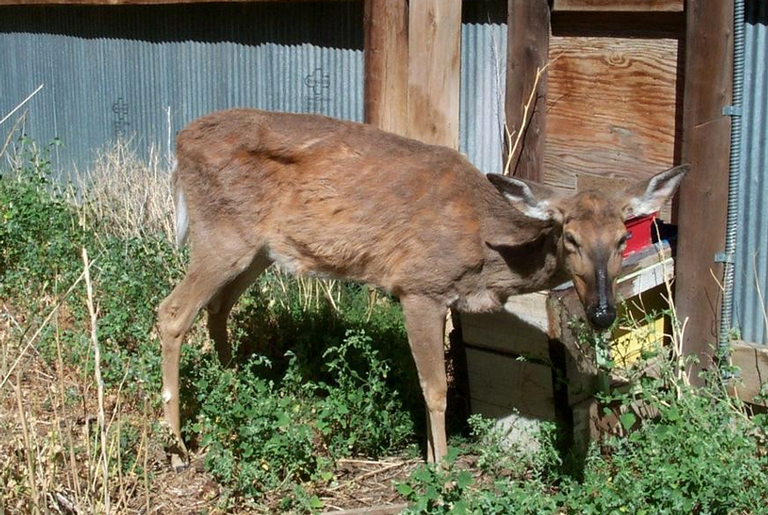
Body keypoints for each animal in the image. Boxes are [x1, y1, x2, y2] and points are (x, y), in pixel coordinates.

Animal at [157, 108, 689, 469]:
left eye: (622, 239)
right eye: (570, 237)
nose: (601, 313)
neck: (485, 250)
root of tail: (179, 143)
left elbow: (429, 383)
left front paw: (434, 458)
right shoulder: (418, 287)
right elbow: (435, 389)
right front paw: (443, 469)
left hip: (258, 250)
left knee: (217, 310)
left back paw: (235, 392)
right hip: (221, 236)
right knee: (172, 312)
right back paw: (179, 447)